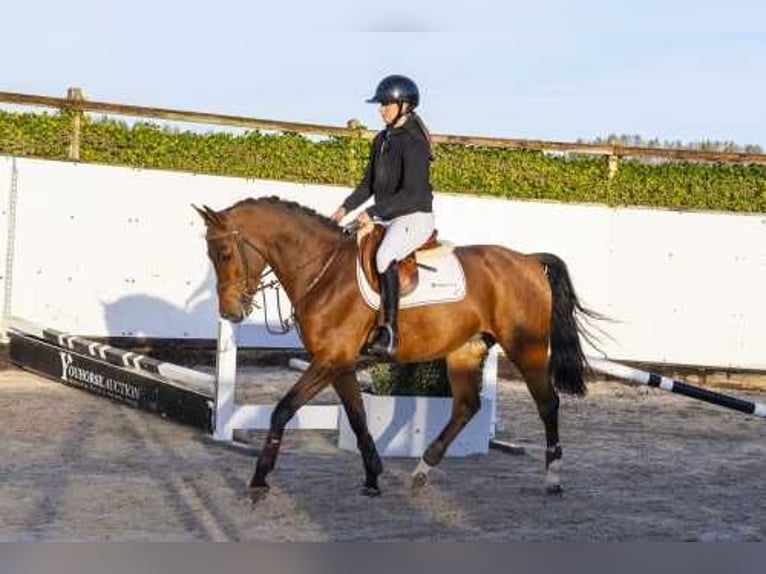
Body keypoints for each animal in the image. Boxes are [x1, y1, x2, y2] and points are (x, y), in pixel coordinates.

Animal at [195, 197, 604, 504]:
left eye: (225, 253)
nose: (229, 313)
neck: (324, 271)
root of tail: (528, 260)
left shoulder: (328, 361)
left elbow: (282, 410)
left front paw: (259, 481)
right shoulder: (339, 365)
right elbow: (358, 417)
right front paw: (373, 477)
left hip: (526, 348)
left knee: (547, 404)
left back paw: (553, 479)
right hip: (465, 350)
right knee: (466, 406)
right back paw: (421, 471)